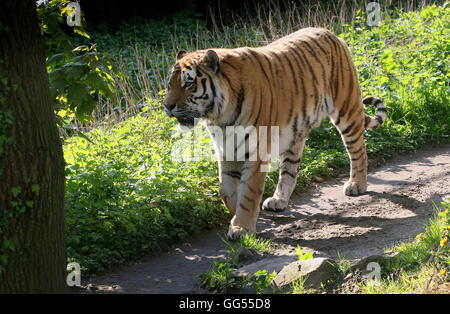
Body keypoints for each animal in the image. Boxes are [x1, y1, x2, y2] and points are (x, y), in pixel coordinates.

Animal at [162, 27, 386, 240]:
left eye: (188, 83)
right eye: (169, 84)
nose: (167, 106)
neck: (219, 115)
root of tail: (330, 33)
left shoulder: (256, 151)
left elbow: (248, 191)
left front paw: (242, 226)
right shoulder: (226, 149)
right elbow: (225, 189)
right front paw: (238, 214)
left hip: (346, 110)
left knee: (358, 150)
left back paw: (356, 184)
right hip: (295, 132)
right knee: (290, 169)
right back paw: (279, 200)